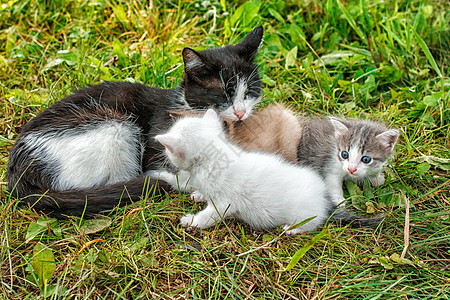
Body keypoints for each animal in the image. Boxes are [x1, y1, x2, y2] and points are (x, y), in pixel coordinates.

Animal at [7, 26, 266, 218]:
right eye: (223, 95)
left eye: (249, 92)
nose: (241, 113)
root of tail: (18, 169)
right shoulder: (159, 143)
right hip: (113, 125)